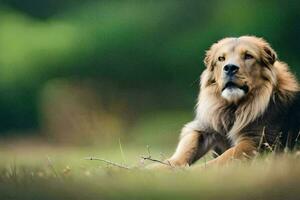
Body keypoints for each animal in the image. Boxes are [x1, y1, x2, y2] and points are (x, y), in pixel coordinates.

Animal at [154, 36, 298, 169]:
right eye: (221, 59)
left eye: (248, 56)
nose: (229, 68)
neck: (232, 108)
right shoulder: (205, 127)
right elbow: (184, 151)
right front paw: (156, 168)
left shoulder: (258, 141)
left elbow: (223, 158)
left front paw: (190, 171)